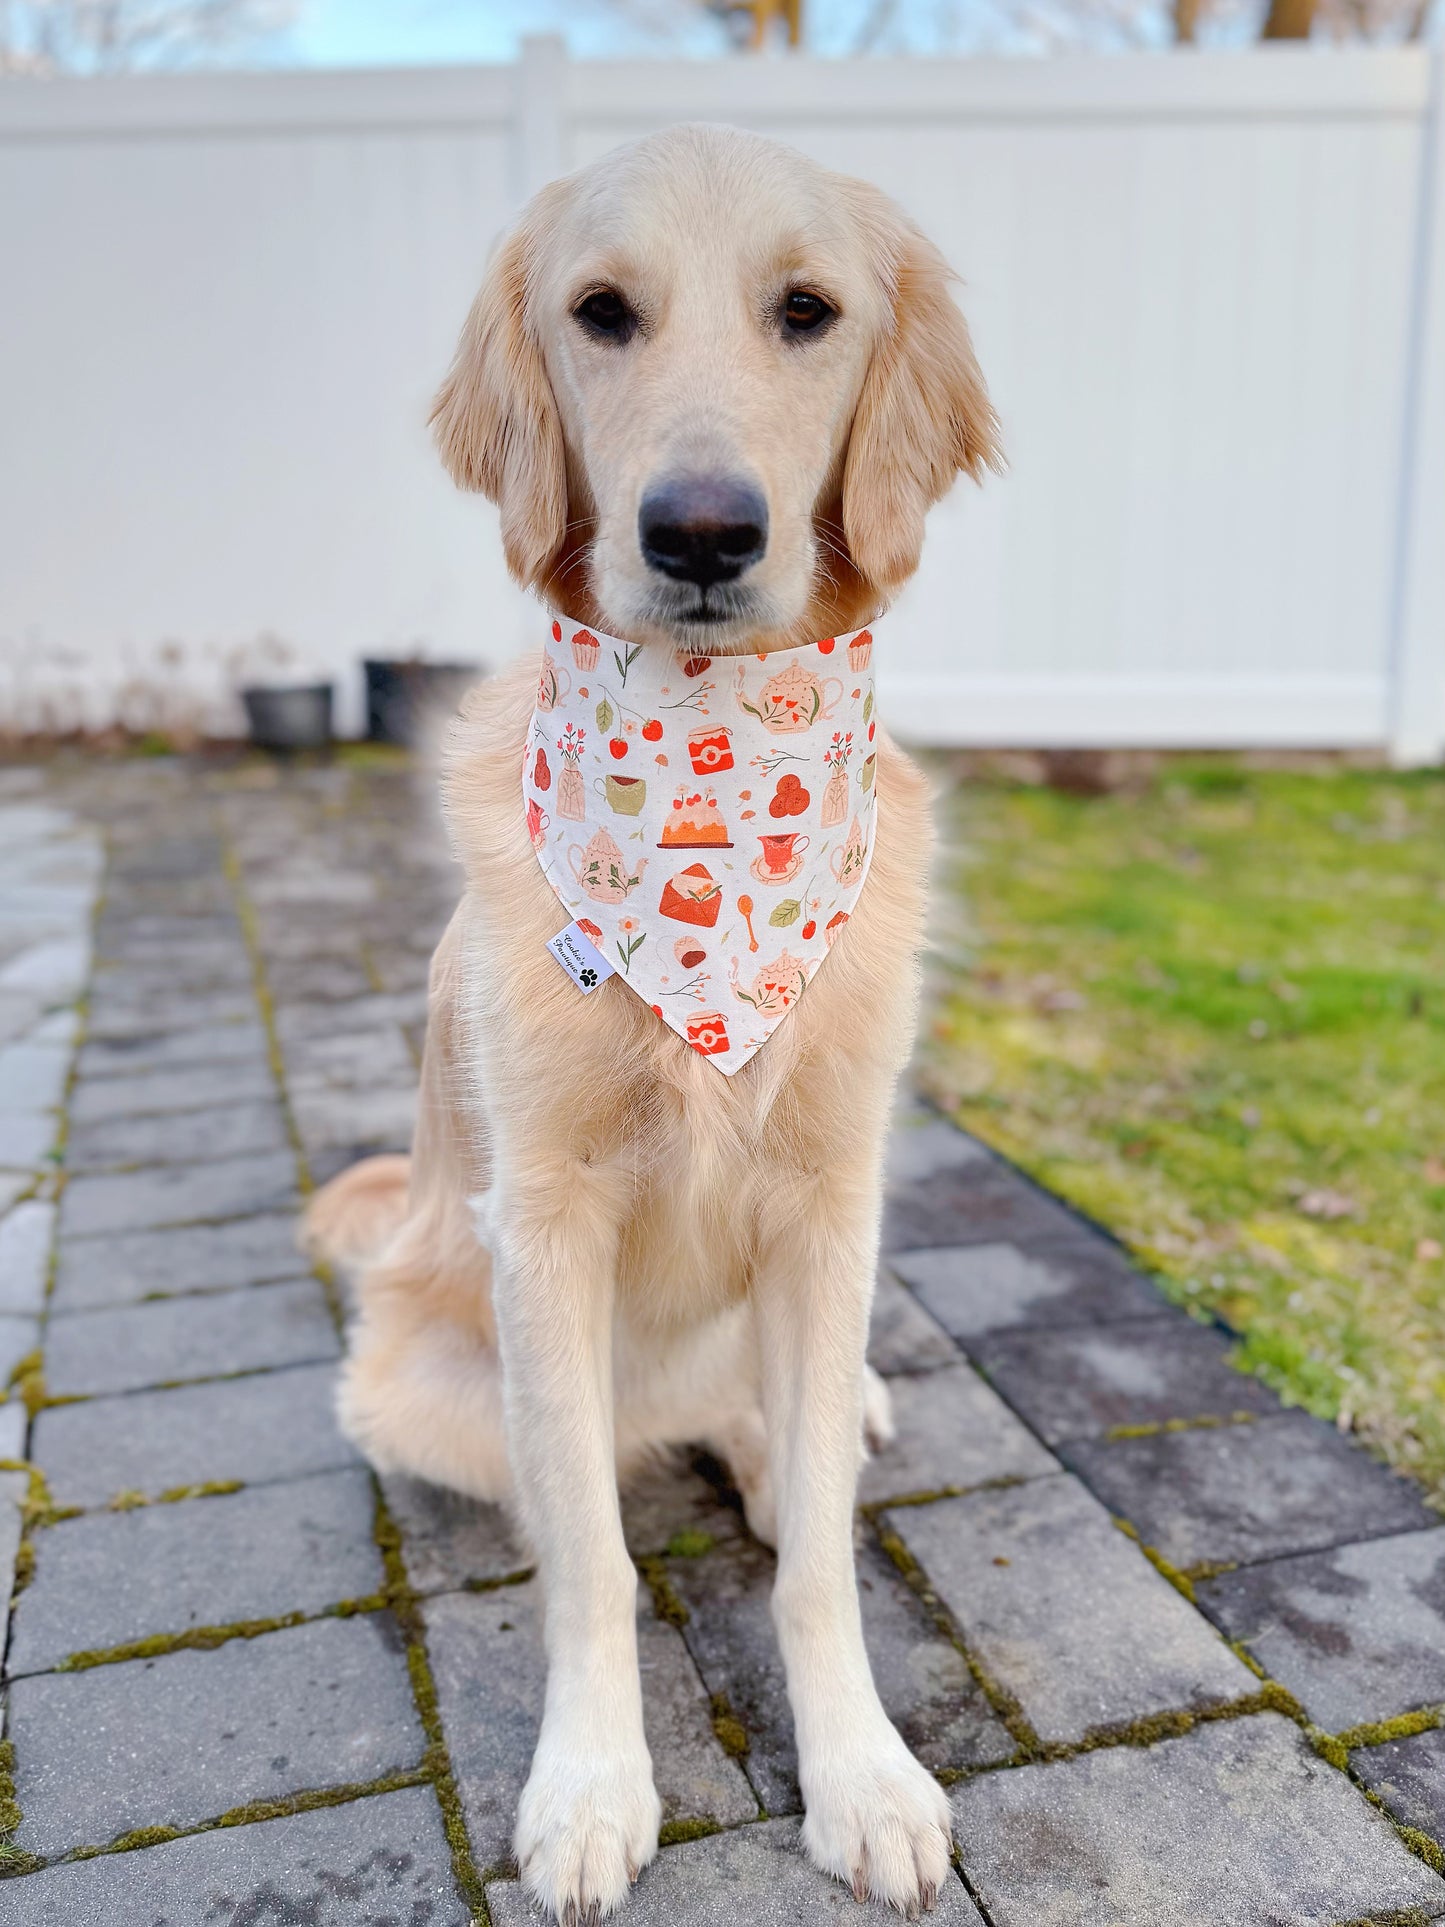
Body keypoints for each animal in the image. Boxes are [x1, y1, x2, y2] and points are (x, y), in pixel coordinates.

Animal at [312, 124, 1001, 1927]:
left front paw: (862, 1773)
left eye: (808, 310)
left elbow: (822, 1554)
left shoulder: (832, 1202)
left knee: (786, 1433)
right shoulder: (546, 1223)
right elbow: (595, 1564)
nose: (699, 532)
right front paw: (591, 1784)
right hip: (426, 1376)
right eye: (602, 312)